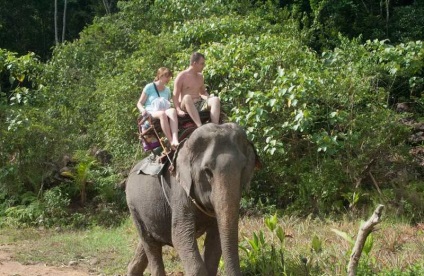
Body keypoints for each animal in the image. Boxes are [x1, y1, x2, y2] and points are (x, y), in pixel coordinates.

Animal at [124, 123, 260, 276]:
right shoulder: (178, 190)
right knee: (150, 244)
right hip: (134, 207)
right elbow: (179, 236)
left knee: (149, 240)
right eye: (207, 171)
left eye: (243, 169)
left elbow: (215, 241)